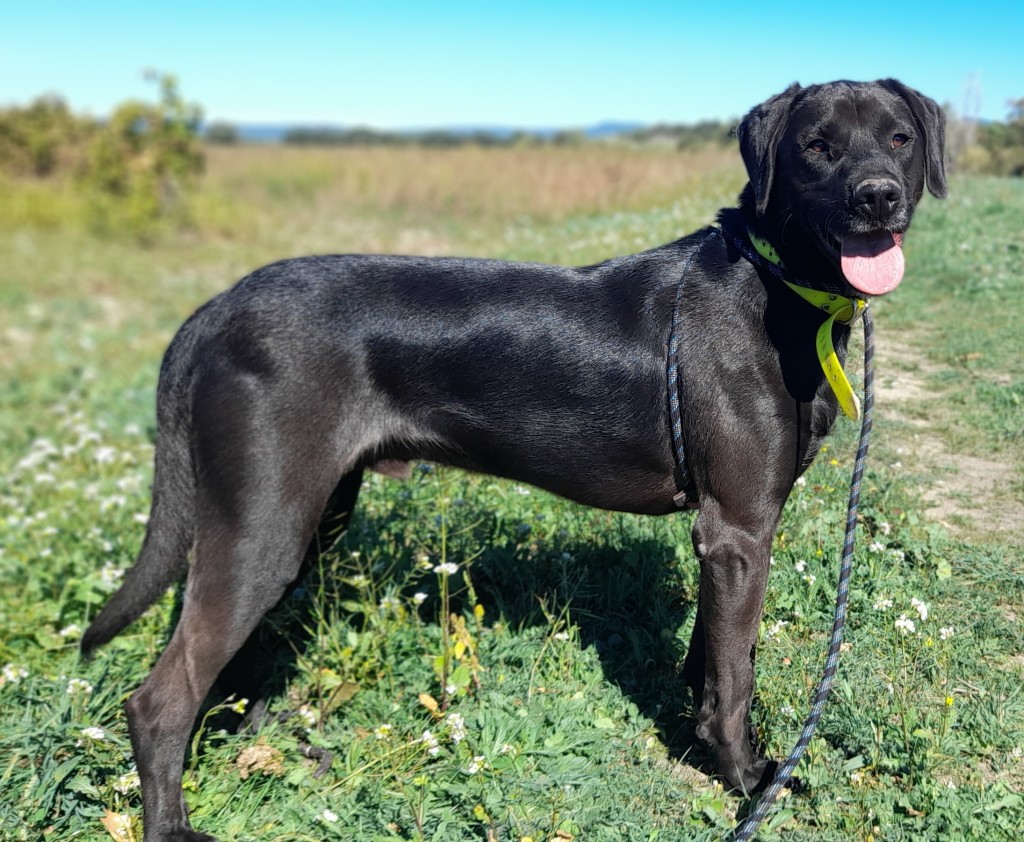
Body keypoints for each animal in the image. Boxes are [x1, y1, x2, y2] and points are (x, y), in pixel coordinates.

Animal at [81, 80, 942, 842]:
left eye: (900, 138)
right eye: (814, 147)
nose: (876, 198)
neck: (775, 286)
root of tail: (218, 307)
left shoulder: (728, 535)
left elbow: (715, 657)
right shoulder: (737, 529)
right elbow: (735, 679)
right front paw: (748, 778)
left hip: (307, 517)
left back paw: (273, 742)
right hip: (265, 522)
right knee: (159, 699)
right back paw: (176, 824)